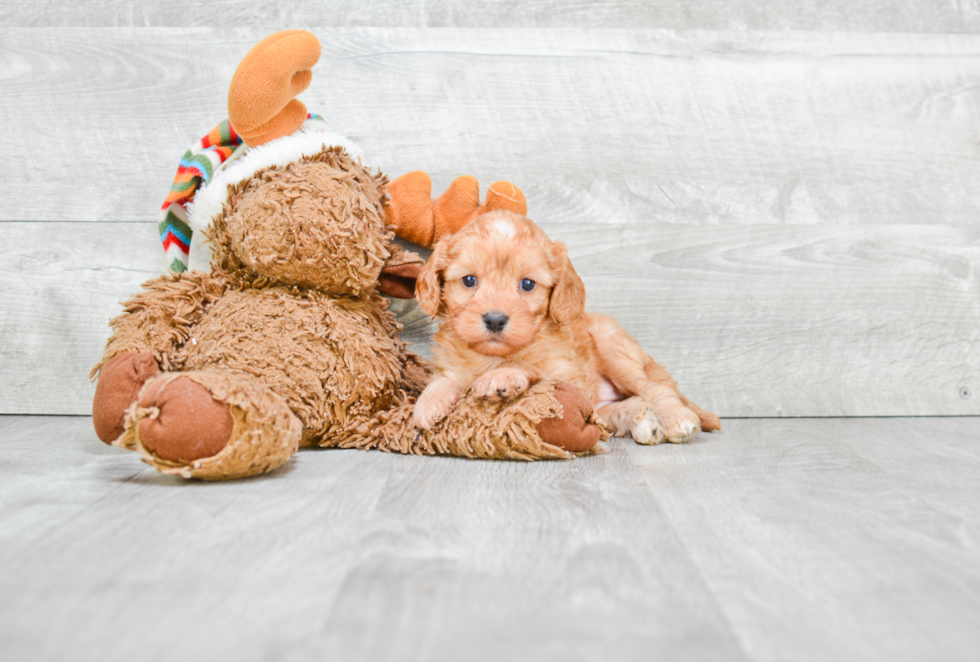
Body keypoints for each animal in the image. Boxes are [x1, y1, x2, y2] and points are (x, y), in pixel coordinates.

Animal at [412, 210, 720, 444]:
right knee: (612, 411)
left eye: (527, 284)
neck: (491, 355)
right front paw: (428, 402)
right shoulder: (450, 364)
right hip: (600, 401)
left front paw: (502, 376)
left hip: (615, 350)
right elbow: (444, 378)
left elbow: (528, 365)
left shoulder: (567, 373)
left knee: (658, 389)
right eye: (468, 280)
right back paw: (643, 421)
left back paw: (677, 419)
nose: (495, 319)